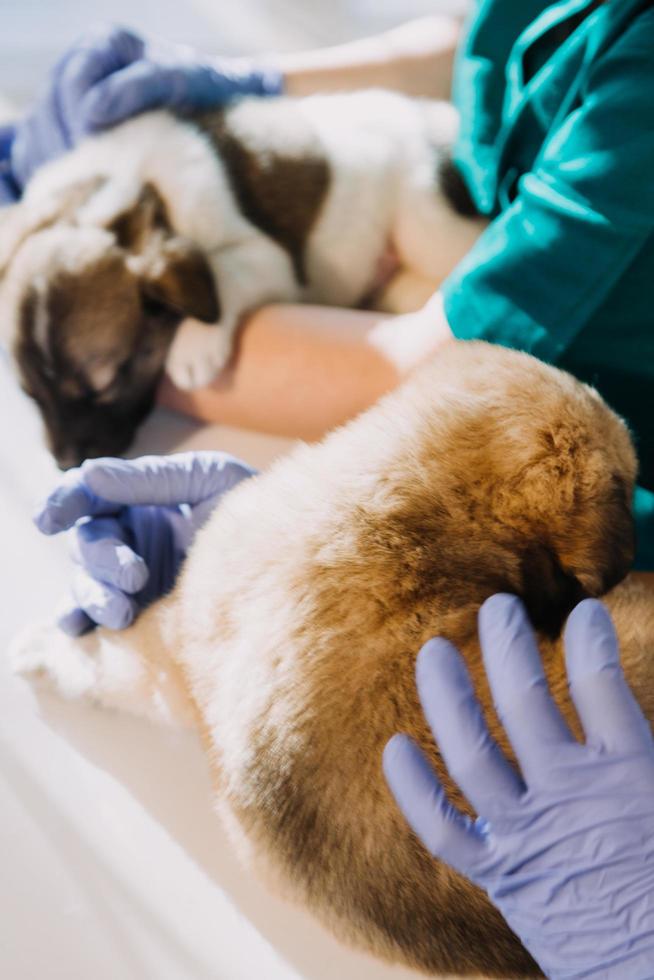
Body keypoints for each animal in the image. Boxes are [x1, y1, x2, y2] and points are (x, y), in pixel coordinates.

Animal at [0, 94, 484, 468]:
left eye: (106, 385)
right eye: (28, 394)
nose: (65, 465)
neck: (135, 195)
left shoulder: (267, 256)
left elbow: (224, 269)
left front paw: (196, 344)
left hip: (424, 217)